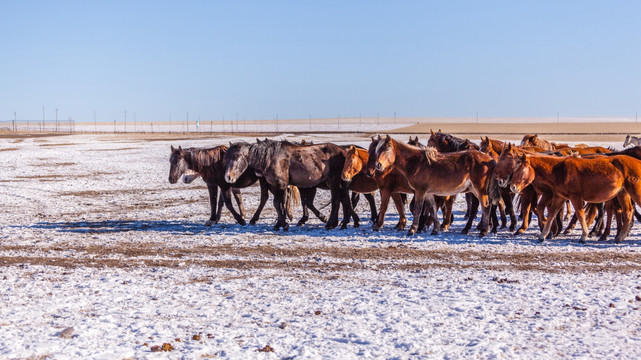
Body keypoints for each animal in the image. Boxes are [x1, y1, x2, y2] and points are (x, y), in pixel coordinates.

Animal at [221, 139, 350, 229]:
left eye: (236, 157)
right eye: (225, 159)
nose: (228, 177)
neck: (270, 158)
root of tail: (343, 152)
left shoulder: (281, 185)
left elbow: (278, 203)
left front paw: (284, 224)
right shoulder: (276, 185)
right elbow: (280, 204)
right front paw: (279, 224)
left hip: (333, 182)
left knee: (336, 200)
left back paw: (330, 223)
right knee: (341, 200)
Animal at [500, 147, 640, 245]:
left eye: (519, 170)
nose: (512, 187)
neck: (559, 170)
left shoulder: (575, 197)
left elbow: (580, 214)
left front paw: (583, 236)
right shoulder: (559, 197)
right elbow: (551, 214)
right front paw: (544, 235)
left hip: (634, 192)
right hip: (623, 193)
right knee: (628, 212)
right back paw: (620, 237)